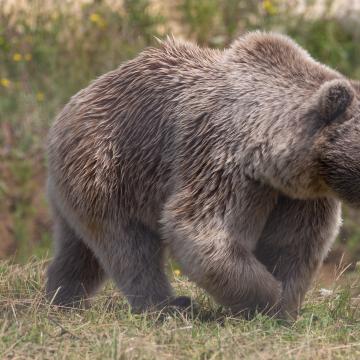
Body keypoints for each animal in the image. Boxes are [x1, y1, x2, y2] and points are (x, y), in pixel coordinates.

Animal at [45, 31, 360, 318]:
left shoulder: (299, 194)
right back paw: (166, 306)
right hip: (109, 167)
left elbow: (293, 244)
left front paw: (284, 306)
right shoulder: (223, 161)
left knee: (80, 251)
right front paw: (268, 298)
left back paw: (62, 297)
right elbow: (200, 229)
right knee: (129, 247)